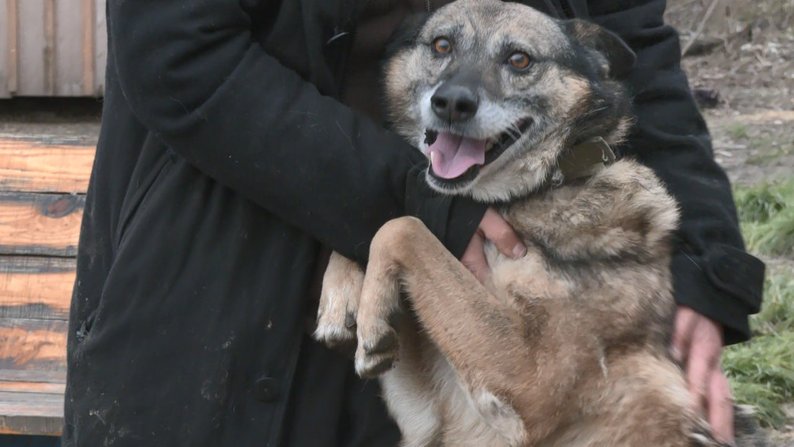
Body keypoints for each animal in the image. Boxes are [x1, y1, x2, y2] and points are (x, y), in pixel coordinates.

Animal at [312, 1, 764, 446]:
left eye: (519, 59)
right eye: (441, 45)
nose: (452, 103)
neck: (536, 188)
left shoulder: (530, 377)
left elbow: (403, 227)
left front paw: (369, 310)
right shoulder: (426, 414)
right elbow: (380, 223)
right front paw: (345, 298)